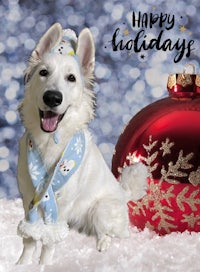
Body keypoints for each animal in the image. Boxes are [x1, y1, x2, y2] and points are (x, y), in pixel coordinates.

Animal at [16, 22, 147, 264]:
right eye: (43, 72)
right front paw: (21, 264)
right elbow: (29, 238)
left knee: (112, 232)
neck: (51, 141)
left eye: (71, 78)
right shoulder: (29, 197)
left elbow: (49, 241)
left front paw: (43, 265)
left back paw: (103, 243)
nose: (52, 98)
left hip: (101, 210)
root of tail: (123, 193)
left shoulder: (62, 204)